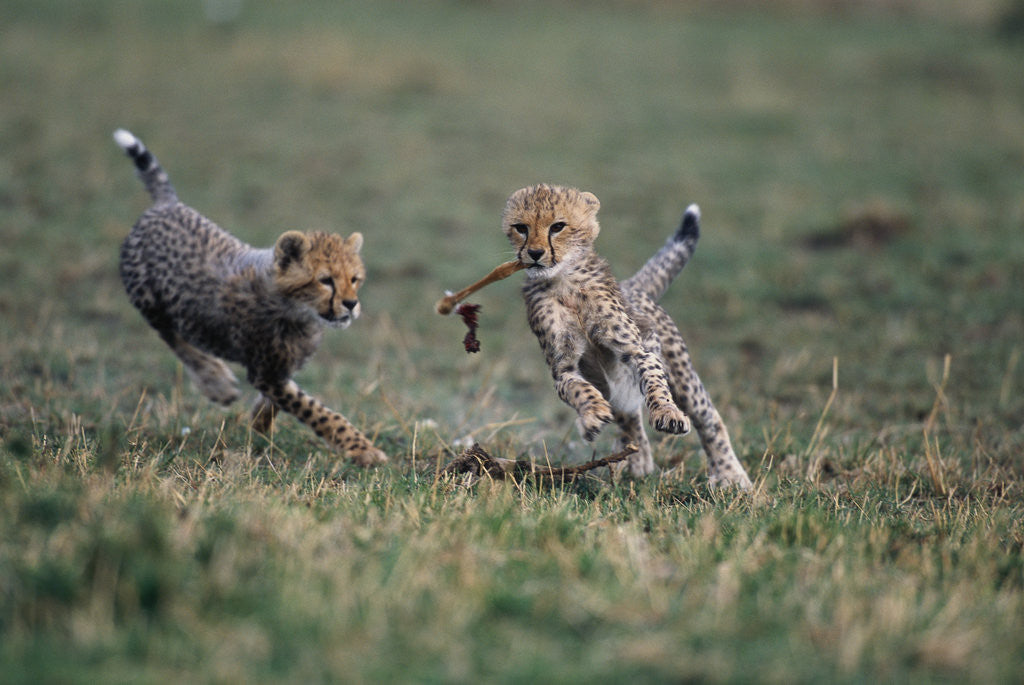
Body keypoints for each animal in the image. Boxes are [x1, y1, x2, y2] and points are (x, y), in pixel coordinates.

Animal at [113, 129, 387, 466]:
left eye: (354, 279)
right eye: (325, 281)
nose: (351, 304)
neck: (295, 309)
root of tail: (166, 205)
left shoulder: (279, 368)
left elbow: (281, 396)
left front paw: (259, 420)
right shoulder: (264, 369)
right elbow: (316, 411)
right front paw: (362, 448)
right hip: (148, 298)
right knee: (172, 336)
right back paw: (214, 380)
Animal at [502, 183, 751, 487]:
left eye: (558, 226)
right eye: (521, 228)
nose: (535, 253)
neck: (564, 282)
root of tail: (633, 285)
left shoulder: (637, 350)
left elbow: (655, 384)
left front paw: (667, 413)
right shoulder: (564, 368)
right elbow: (577, 388)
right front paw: (592, 415)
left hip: (682, 378)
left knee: (709, 417)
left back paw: (731, 475)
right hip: (616, 389)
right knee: (628, 415)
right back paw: (637, 460)